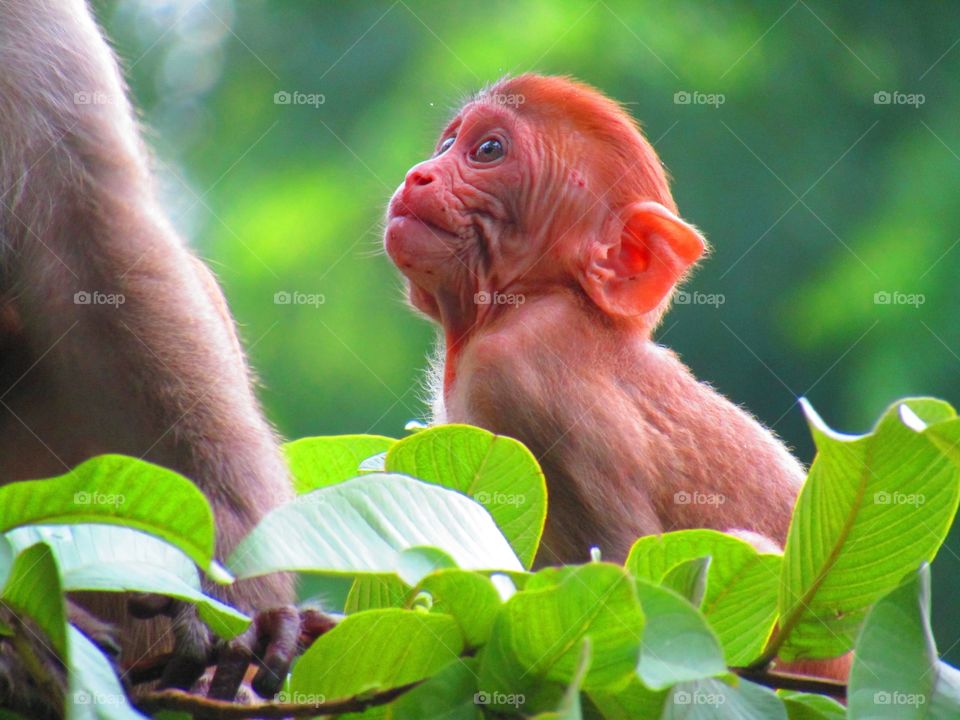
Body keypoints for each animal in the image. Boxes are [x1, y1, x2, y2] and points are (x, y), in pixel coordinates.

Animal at [385, 74, 851, 681]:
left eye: (487, 150)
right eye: (447, 145)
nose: (421, 173)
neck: (540, 297)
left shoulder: (520, 371)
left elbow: (623, 564)